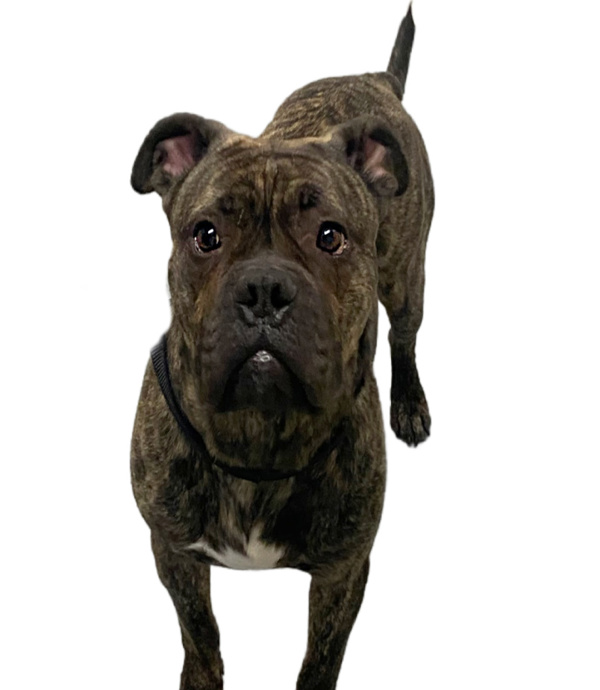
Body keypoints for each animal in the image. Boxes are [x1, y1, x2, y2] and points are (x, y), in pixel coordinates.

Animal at [130, 5, 433, 688]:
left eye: (331, 236)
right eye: (205, 234)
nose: (264, 288)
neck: (258, 434)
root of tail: (372, 78)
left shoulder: (344, 572)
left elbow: (321, 657)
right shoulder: (173, 552)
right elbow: (200, 632)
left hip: (407, 277)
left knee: (404, 335)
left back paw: (410, 403)